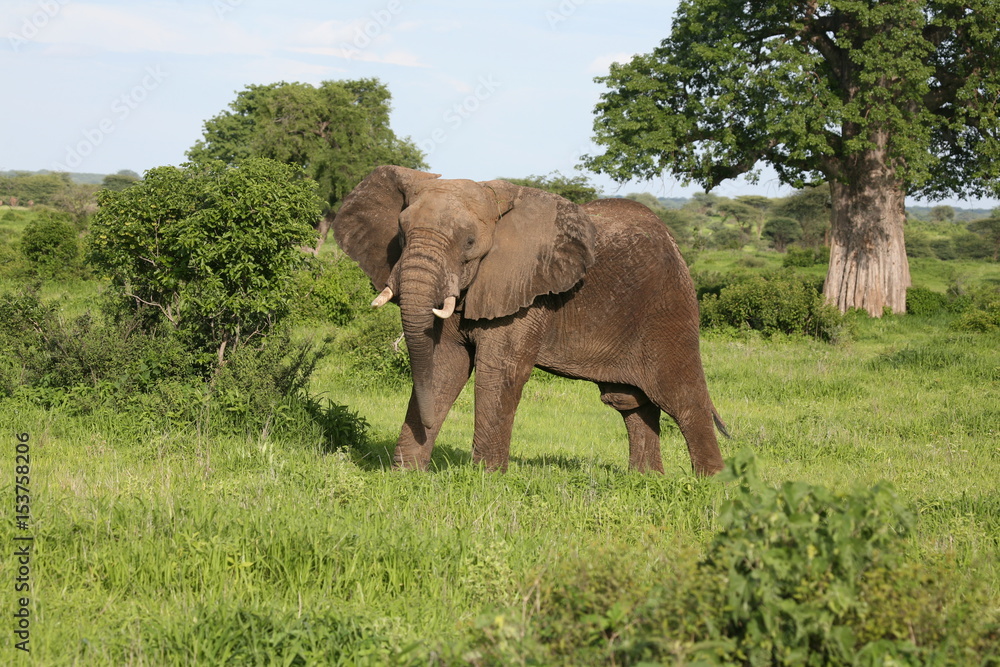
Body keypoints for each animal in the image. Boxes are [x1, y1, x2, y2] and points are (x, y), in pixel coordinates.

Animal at [334, 164, 728, 474]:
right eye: (400, 234)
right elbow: (446, 364)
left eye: (470, 242)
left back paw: (710, 485)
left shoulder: (525, 290)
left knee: (682, 398)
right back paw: (645, 480)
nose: (427, 424)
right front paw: (406, 476)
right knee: (630, 401)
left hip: (668, 306)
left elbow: (499, 371)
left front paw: (485, 479)